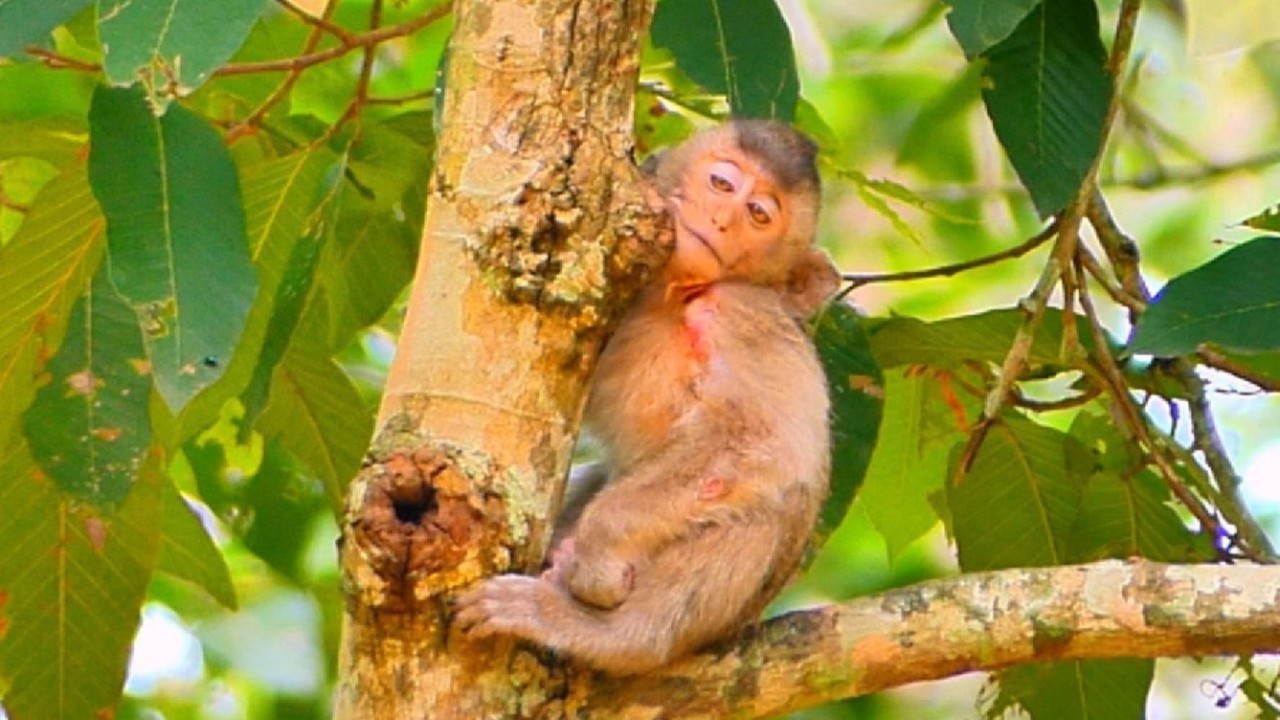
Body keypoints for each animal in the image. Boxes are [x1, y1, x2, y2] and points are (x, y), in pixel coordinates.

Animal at [455, 119, 839, 675]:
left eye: (759, 214)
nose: (721, 220)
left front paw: (593, 562)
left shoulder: (744, 312)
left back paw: (607, 633)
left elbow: (760, 441)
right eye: (722, 184)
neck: (676, 295)